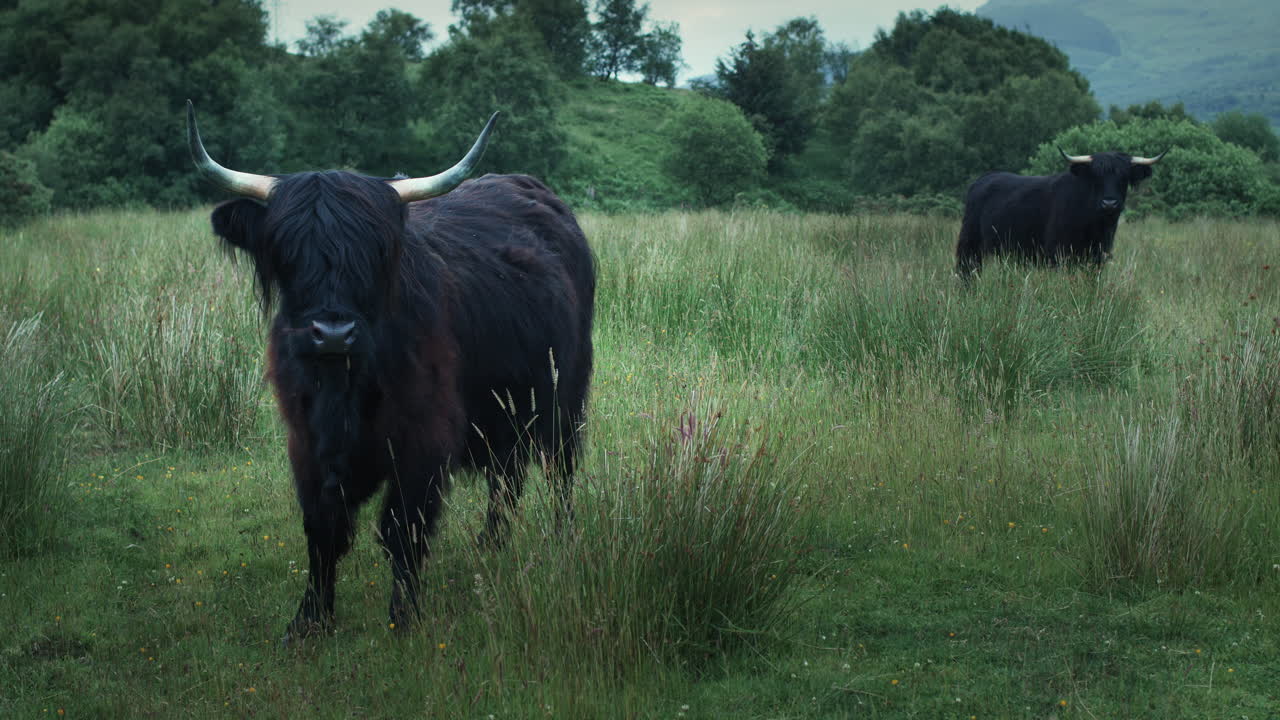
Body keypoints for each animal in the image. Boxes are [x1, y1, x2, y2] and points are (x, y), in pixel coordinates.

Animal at [186, 101, 595, 642]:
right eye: (286, 250)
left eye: (373, 251)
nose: (332, 332)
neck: (346, 388)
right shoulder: (306, 442)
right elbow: (322, 529)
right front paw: (309, 620)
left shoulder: (422, 439)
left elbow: (403, 531)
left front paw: (405, 618)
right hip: (503, 405)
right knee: (506, 476)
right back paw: (490, 544)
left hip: (564, 393)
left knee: (559, 471)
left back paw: (564, 541)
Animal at [955, 148, 1168, 278]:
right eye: (1096, 177)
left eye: (1124, 177)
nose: (1110, 203)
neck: (1095, 226)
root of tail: (983, 178)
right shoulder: (1057, 254)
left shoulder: (1098, 256)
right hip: (969, 245)